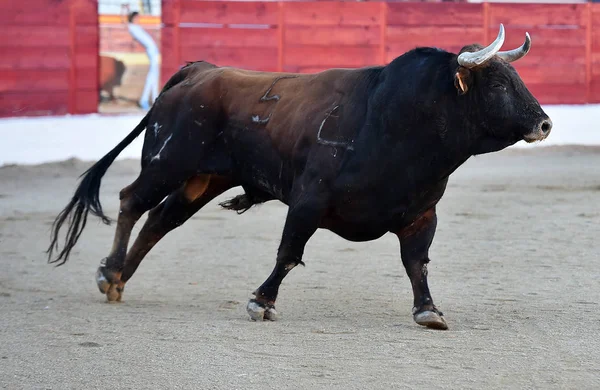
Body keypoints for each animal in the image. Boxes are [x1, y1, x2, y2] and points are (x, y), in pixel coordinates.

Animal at [49, 24, 552, 330]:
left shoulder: (420, 214)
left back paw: (120, 278)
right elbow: (289, 253)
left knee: (160, 221)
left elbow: (417, 263)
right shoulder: (309, 200)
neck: (398, 122)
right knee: (132, 201)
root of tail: (199, 72)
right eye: (498, 84)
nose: (545, 124)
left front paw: (428, 311)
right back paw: (109, 272)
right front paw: (261, 302)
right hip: (168, 162)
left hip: (202, 180)